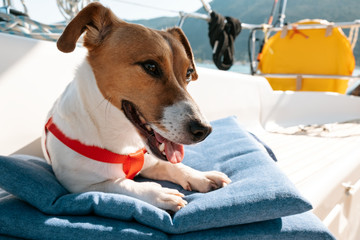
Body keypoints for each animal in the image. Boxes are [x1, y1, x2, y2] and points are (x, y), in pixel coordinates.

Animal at [41, 2, 231, 212]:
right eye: (151, 66)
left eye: (189, 73)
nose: (204, 130)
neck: (123, 139)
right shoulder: (80, 185)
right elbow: (122, 184)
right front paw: (160, 193)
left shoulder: (151, 161)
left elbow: (174, 166)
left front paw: (200, 175)